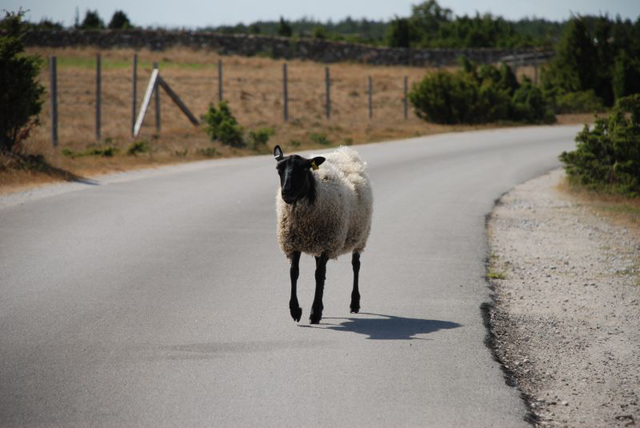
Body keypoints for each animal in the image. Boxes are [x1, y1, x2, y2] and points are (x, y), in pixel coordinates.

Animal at [272, 145, 372, 324]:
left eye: (304, 170)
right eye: (278, 169)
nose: (286, 194)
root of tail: (346, 151)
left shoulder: (328, 244)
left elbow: (318, 275)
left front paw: (315, 312)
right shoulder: (294, 244)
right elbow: (294, 273)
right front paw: (295, 310)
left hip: (360, 236)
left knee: (356, 265)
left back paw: (354, 303)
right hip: (318, 242)